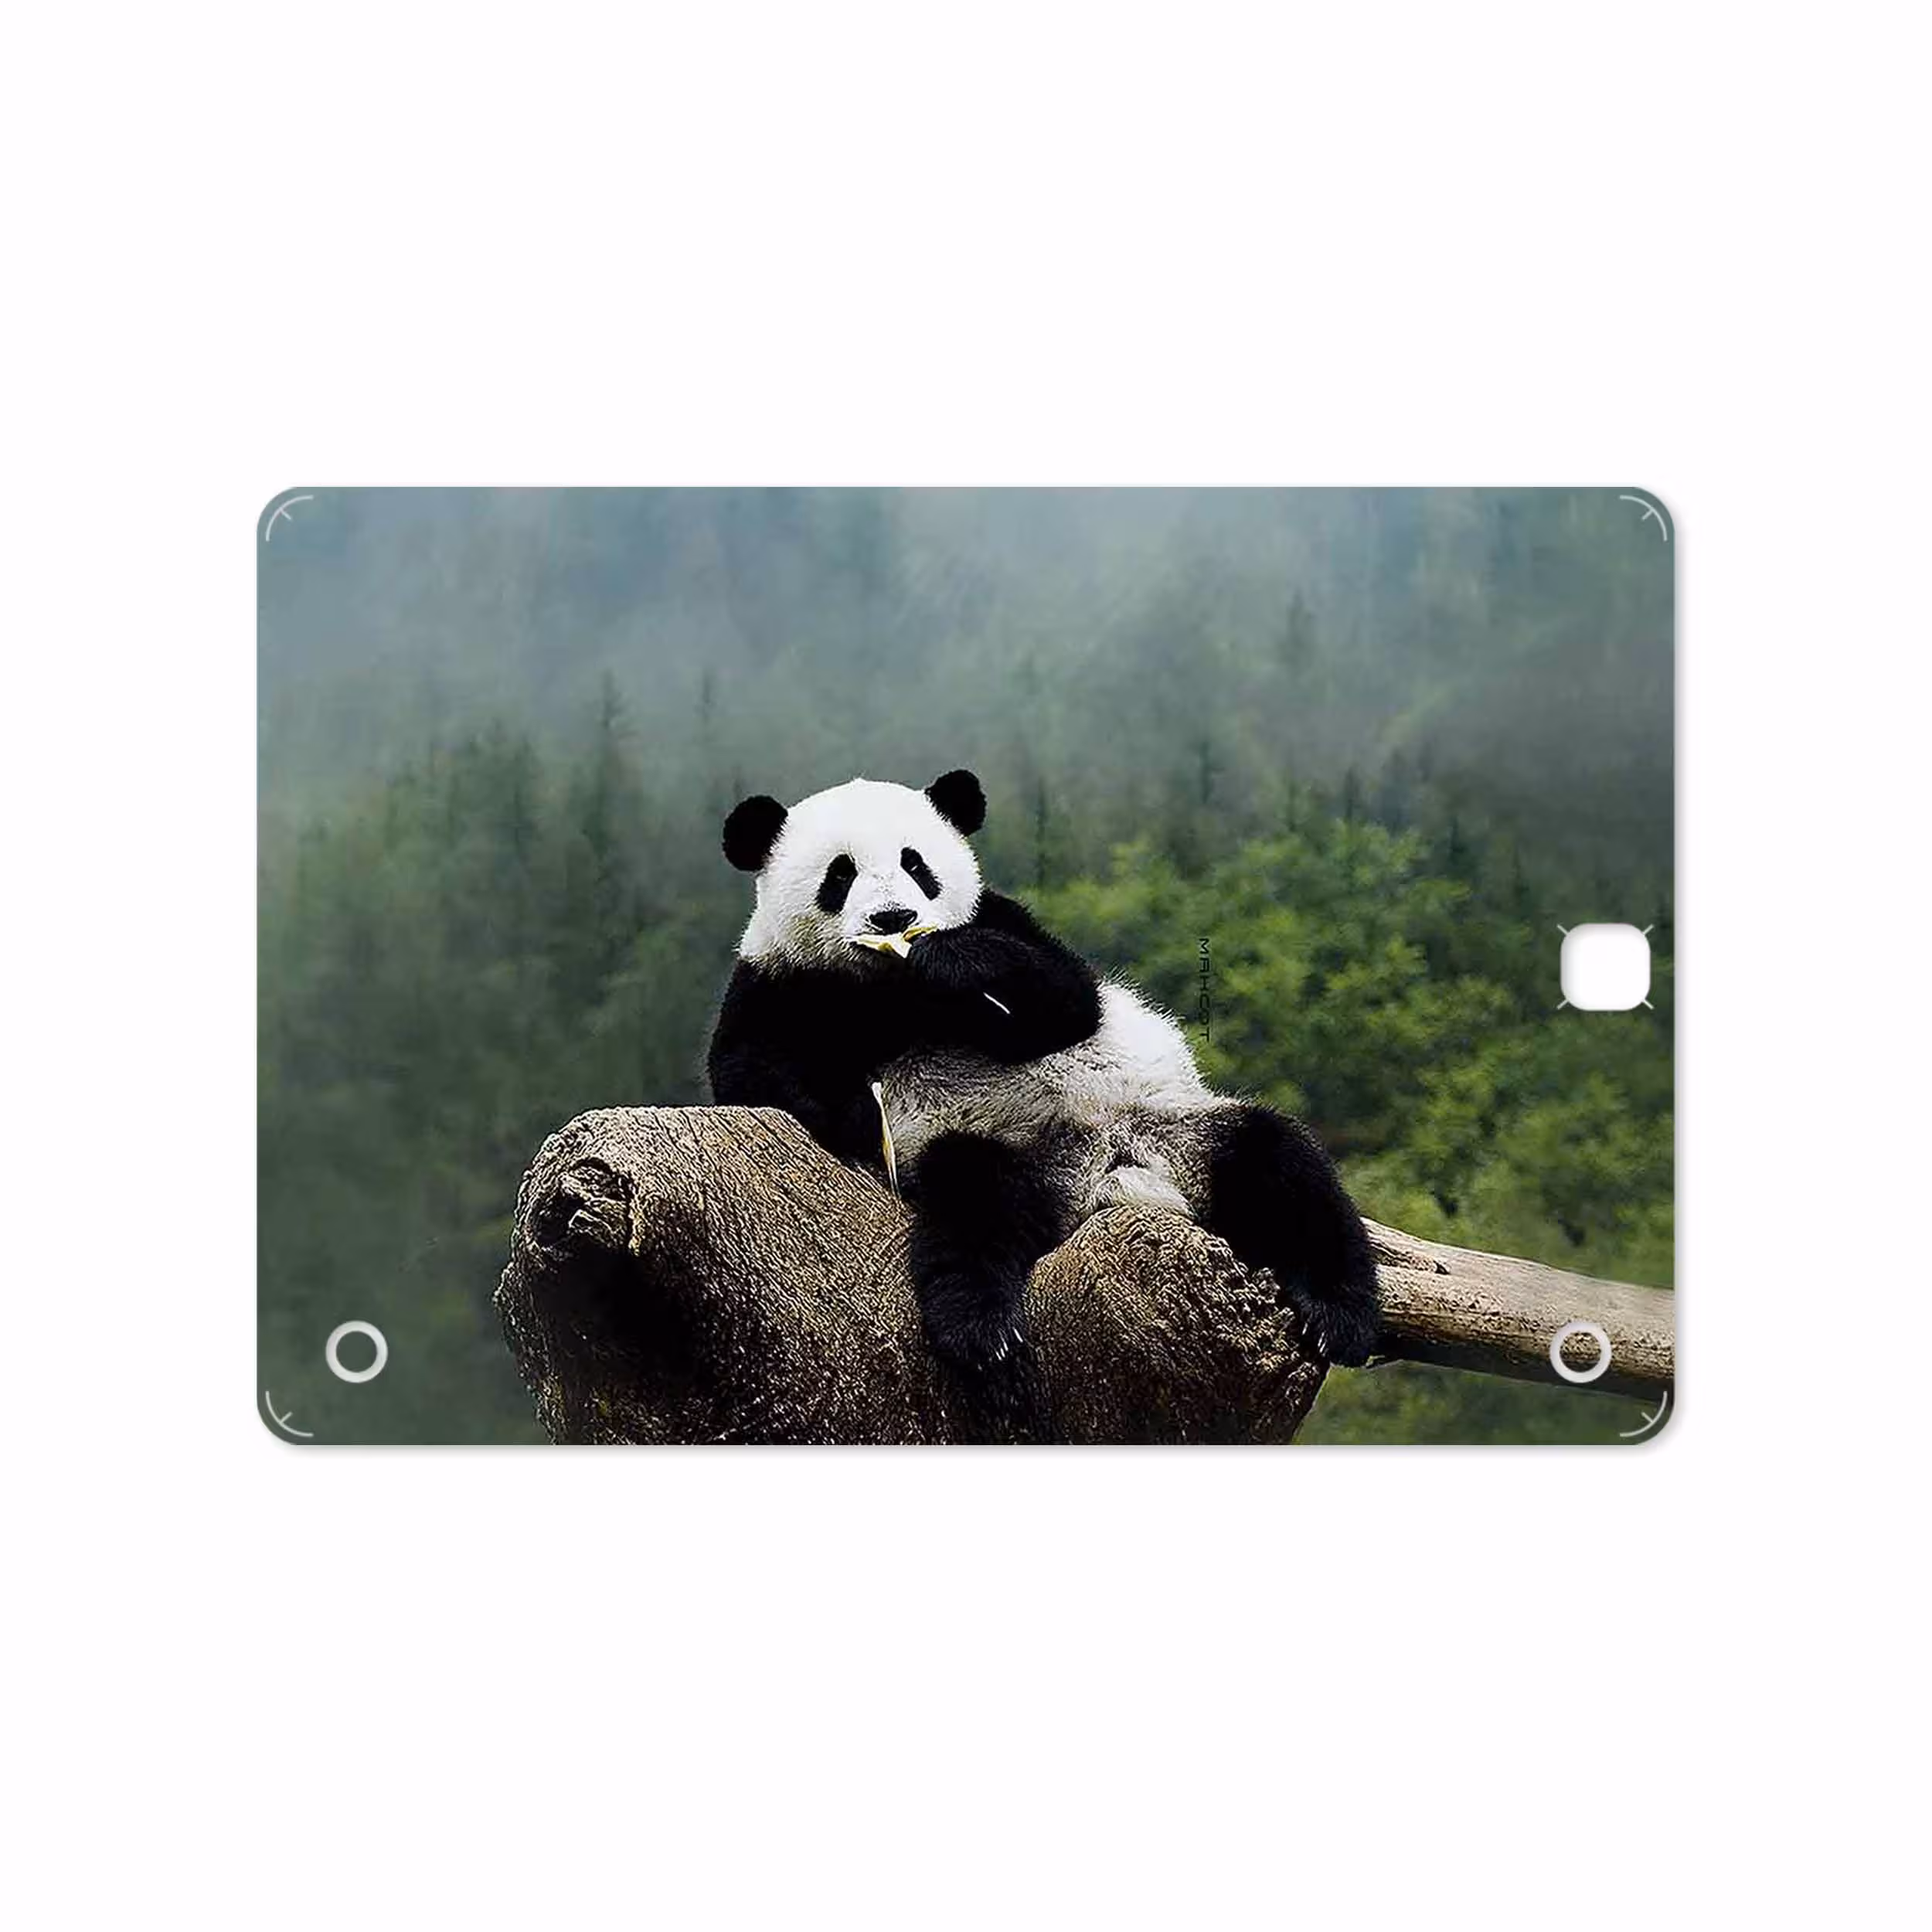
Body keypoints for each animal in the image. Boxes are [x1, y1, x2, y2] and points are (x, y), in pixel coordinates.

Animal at [706, 768, 1381, 1386]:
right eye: (840, 875)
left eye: (915, 863)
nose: (894, 917)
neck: (891, 990)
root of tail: (1107, 1178)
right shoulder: (777, 982)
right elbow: (750, 1073)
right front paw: (852, 1114)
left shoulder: (1004, 920)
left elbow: (1068, 1000)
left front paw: (952, 960)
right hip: (1002, 1150)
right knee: (974, 1203)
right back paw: (980, 1328)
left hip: (1178, 1129)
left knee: (1281, 1164)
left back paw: (1338, 1316)